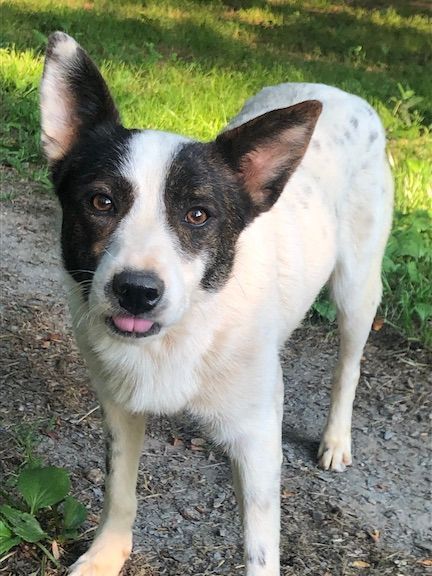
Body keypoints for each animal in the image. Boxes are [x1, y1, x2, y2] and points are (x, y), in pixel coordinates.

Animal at [40, 32, 394, 576]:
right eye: (101, 202)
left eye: (198, 214)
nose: (137, 291)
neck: (183, 333)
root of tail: (338, 90)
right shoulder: (119, 407)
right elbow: (119, 489)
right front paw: (106, 554)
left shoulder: (258, 441)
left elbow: (261, 548)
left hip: (357, 288)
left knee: (348, 366)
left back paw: (336, 440)